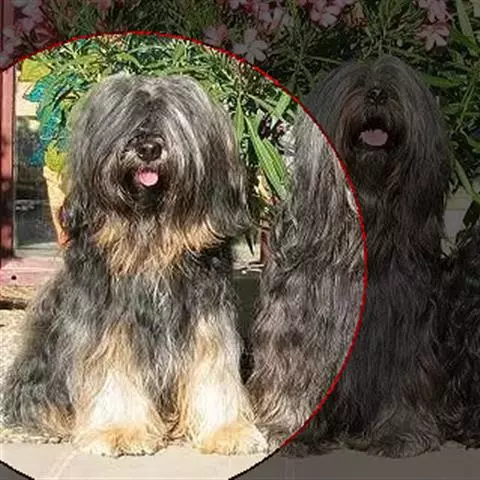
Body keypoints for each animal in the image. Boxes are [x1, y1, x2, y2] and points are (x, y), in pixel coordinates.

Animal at [1, 74, 266, 457]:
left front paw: (227, 430)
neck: (150, 236)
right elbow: (113, 368)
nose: (149, 149)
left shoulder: (205, 315)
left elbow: (212, 369)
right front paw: (120, 431)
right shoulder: (108, 319)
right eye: (127, 119)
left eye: (172, 120)